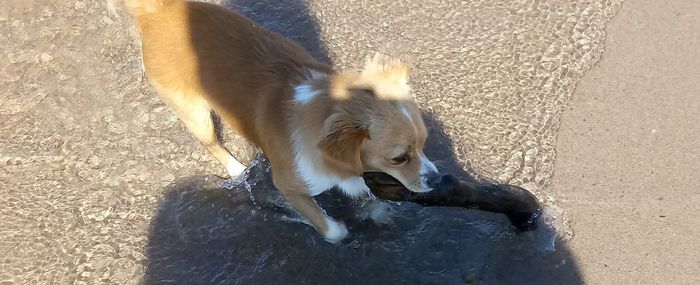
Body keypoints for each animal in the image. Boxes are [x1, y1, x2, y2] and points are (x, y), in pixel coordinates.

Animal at [120, 0, 438, 242]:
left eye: (425, 144)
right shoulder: (288, 184)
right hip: (195, 113)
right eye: (399, 158)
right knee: (211, 143)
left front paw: (376, 211)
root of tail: (157, 11)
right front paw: (325, 224)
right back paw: (236, 169)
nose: (437, 178)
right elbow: (330, 229)